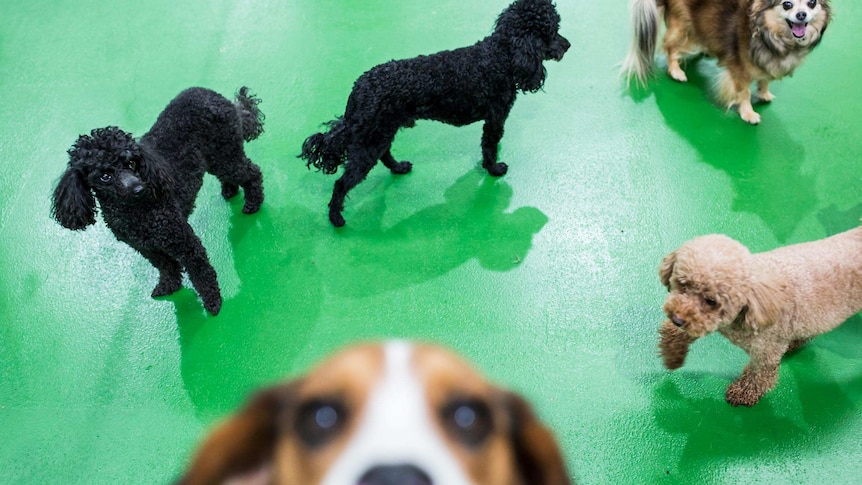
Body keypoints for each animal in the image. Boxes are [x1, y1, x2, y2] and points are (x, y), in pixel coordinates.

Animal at [624, 0, 832, 124]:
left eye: (811, 3)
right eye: (787, 4)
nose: (801, 14)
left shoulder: (764, 63)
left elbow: (764, 80)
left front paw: (764, 94)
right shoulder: (740, 72)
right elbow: (744, 93)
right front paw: (748, 113)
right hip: (686, 31)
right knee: (670, 47)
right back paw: (676, 71)